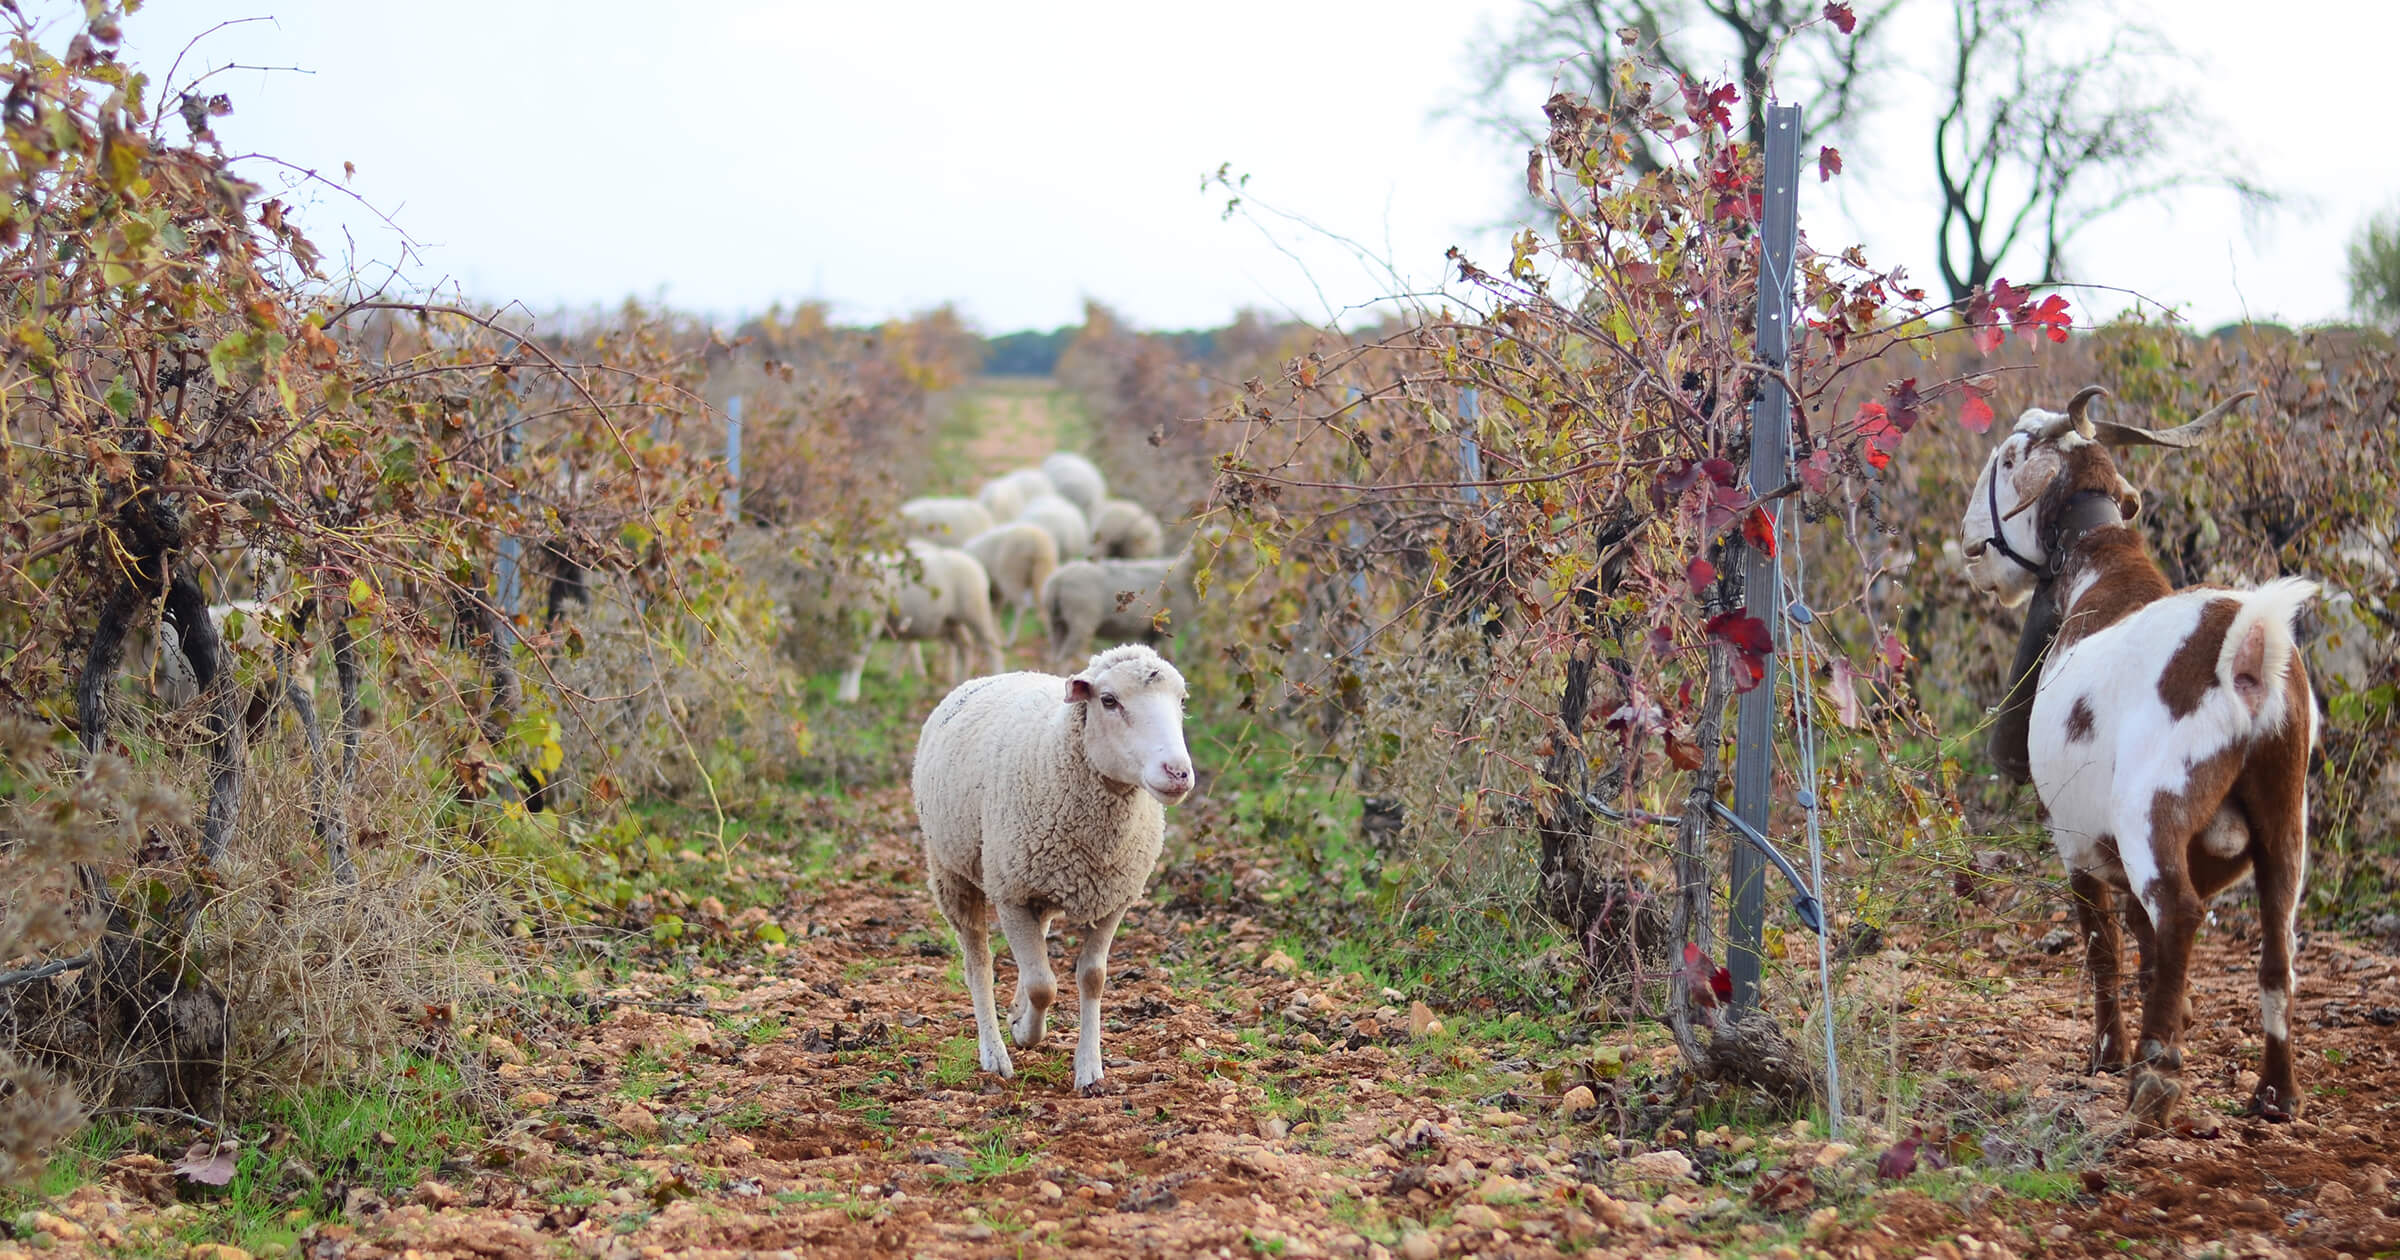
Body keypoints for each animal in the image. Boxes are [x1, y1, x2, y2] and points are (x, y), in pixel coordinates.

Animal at [835, 535, 1003, 700]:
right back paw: (958, 682)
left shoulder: (872, 618)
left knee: (991, 647)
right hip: (951, 622)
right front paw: (844, 693)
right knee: (965, 646)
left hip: (975, 613)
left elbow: (857, 657)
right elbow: (847, 656)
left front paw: (849, 695)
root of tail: (973, 562)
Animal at [902, 643, 1195, 1084]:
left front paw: (1089, 1068)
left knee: (1033, 946)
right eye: (1109, 701)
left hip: (1037, 885)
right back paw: (995, 1053)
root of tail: (1000, 674)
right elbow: (1043, 985)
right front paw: (1027, 1034)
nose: (1177, 772)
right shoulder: (1010, 893)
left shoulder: (1112, 900)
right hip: (952, 871)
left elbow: (1092, 979)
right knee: (979, 962)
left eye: (1180, 701)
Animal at [1041, 552, 1200, 667]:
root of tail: (1058, 580)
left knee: (1054, 657)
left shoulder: (1150, 632)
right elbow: (1169, 657)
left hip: (1056, 622)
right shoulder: (1169, 627)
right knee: (1063, 658)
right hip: (1080, 620)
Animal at [1958, 386, 2313, 1128]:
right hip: (2283, 819)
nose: (1970, 541)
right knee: (2277, 942)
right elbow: (2142, 946)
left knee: (2178, 911)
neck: (2104, 571)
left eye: (2007, 459)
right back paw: (2275, 1093)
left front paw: (2108, 1054)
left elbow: (2104, 948)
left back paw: (2155, 1076)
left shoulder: (2075, 843)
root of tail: (2247, 644)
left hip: (2154, 813)